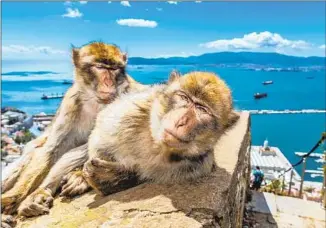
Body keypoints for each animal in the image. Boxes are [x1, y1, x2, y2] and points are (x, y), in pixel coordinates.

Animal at [0, 41, 145, 221]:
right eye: (100, 67)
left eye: (114, 69)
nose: (109, 82)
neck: (96, 101)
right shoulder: (71, 103)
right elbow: (51, 150)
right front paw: (12, 197)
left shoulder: (131, 95)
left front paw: (81, 177)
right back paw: (41, 192)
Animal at [81, 70, 239, 195]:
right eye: (184, 97)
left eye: (202, 109)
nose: (181, 120)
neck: (158, 146)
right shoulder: (127, 115)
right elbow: (99, 136)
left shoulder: (198, 166)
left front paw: (108, 178)